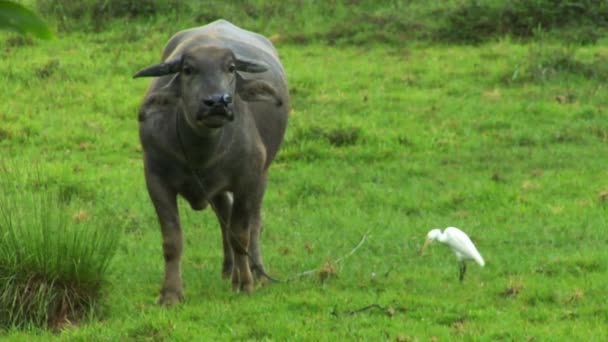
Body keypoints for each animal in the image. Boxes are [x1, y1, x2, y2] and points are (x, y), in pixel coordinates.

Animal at [135, 19, 290, 304]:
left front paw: (245, 284)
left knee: (253, 221)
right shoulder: (156, 179)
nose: (218, 102)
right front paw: (170, 293)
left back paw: (255, 273)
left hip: (261, 177)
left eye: (231, 68)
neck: (200, 153)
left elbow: (240, 234)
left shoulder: (248, 179)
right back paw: (229, 269)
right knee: (224, 215)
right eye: (188, 70)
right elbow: (172, 240)